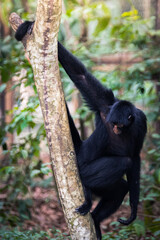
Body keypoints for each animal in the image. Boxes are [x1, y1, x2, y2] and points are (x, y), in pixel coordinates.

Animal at [15, 21, 148, 240]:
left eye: (120, 125)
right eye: (113, 124)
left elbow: (136, 156)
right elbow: (81, 76)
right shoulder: (104, 106)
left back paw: (95, 219)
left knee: (120, 186)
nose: (115, 129)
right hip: (83, 168)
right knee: (121, 163)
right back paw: (86, 190)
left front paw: (134, 210)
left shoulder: (141, 121)